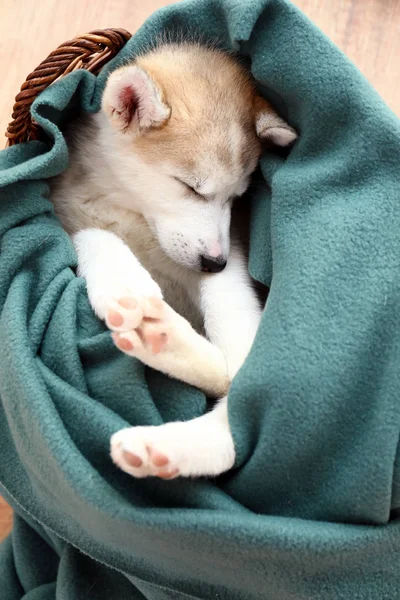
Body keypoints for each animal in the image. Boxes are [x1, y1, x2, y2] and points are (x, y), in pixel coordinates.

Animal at [51, 42, 296, 478]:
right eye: (191, 188)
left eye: (237, 197)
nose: (214, 263)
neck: (132, 210)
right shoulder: (63, 215)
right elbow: (92, 235)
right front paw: (122, 282)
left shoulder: (231, 249)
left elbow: (229, 312)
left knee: (236, 399)